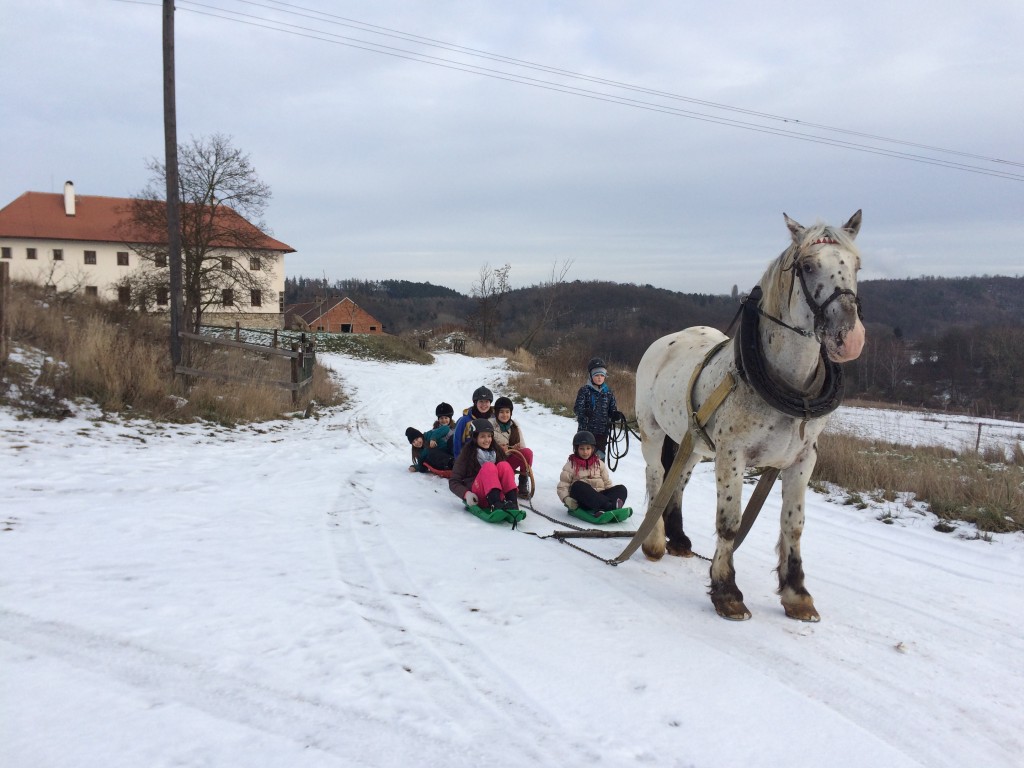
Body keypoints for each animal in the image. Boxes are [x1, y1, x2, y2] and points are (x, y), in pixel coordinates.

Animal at [638, 214, 864, 622]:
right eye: (808, 266)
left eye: (856, 265)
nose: (848, 338)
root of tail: (664, 342)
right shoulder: (733, 454)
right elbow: (730, 523)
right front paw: (727, 592)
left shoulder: (802, 460)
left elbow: (793, 525)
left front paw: (797, 595)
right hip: (651, 431)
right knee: (656, 475)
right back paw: (654, 541)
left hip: (693, 442)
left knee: (677, 481)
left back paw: (678, 539)